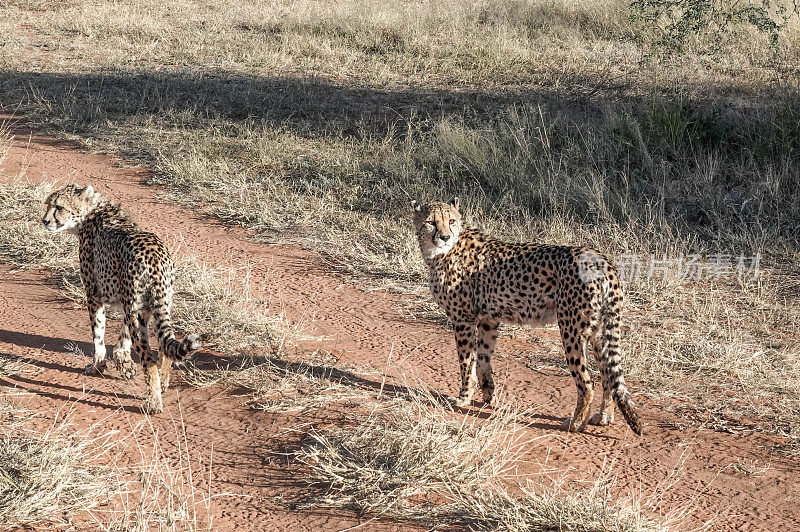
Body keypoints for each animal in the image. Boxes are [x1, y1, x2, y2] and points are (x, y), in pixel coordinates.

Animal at [41, 185, 205, 414]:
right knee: (165, 347)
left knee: (149, 360)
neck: (92, 211)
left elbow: (98, 335)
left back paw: (154, 402)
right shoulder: (136, 307)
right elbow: (122, 335)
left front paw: (98, 366)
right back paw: (163, 382)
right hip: (159, 304)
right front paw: (123, 362)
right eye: (48, 204)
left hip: (138, 307)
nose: (45, 220)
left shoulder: (94, 294)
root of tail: (156, 256)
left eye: (59, 206)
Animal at [412, 197, 644, 434]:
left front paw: (463, 398)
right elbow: (483, 359)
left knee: (587, 383)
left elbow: (466, 362)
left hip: (571, 328)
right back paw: (604, 417)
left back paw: (576, 423)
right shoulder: (488, 320)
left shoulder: (463, 319)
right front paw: (488, 396)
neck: (439, 253)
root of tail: (601, 258)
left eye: (451, 221)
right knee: (608, 376)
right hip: (599, 330)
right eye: (431, 222)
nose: (445, 237)